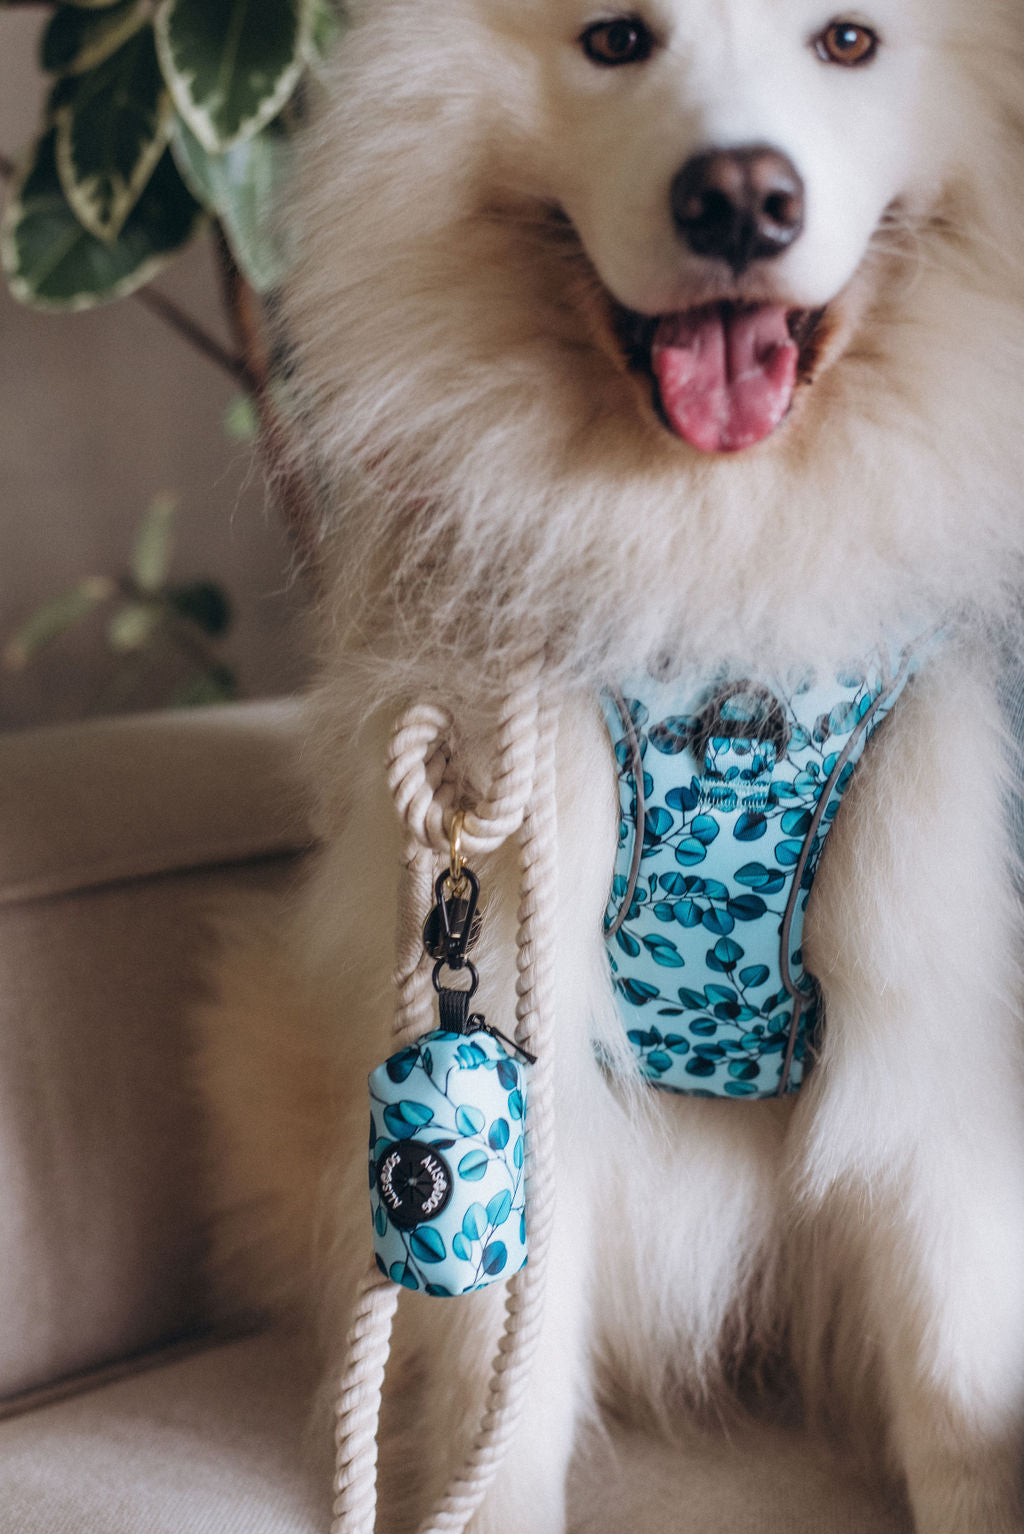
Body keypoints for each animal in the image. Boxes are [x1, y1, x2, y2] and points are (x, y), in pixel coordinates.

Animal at [197, 0, 1024, 1529]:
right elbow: (500, 1395)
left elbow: (958, 1386)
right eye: (616, 39)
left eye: (849, 41)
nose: (740, 199)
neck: (719, 556)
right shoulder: (505, 1021)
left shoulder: (942, 1024)